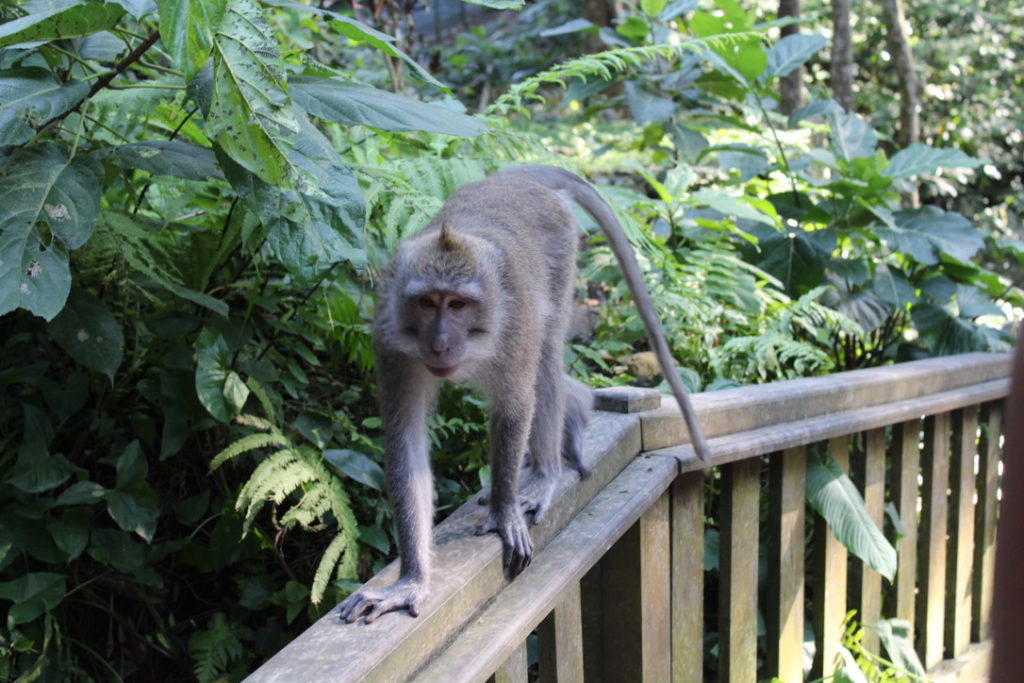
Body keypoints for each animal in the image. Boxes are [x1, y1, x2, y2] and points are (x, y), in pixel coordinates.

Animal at [338, 165, 710, 625]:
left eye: (458, 304)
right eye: (427, 302)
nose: (440, 343)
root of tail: (518, 176)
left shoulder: (514, 325)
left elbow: (515, 406)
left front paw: (504, 509)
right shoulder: (391, 341)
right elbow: (405, 442)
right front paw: (411, 581)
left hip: (561, 251)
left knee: (545, 353)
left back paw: (548, 468)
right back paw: (574, 413)